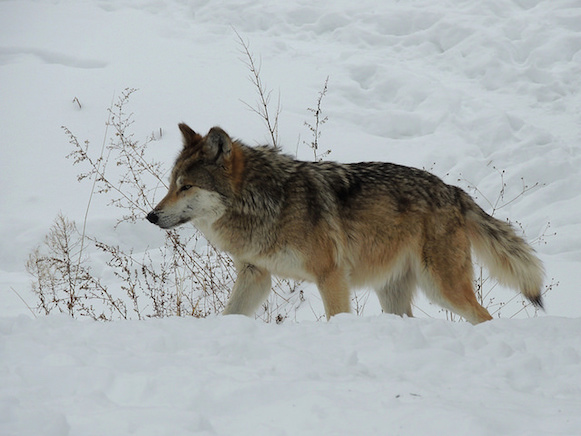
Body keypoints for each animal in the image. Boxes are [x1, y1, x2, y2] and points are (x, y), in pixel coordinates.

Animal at [145, 123, 544, 324]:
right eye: (171, 183)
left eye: (186, 186)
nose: (151, 215)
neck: (267, 202)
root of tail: (454, 191)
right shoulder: (256, 274)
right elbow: (230, 314)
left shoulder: (331, 275)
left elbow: (336, 316)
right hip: (394, 295)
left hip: (440, 287)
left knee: (484, 316)